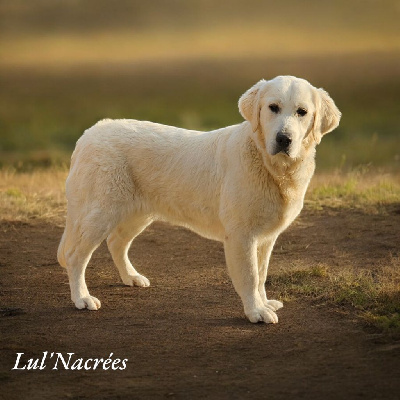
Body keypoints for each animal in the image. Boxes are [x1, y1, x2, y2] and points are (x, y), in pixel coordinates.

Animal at [57, 75, 340, 324]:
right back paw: (82, 298)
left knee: (116, 242)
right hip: (100, 212)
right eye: (273, 108)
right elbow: (250, 276)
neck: (271, 166)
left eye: (302, 112)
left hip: (138, 213)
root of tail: (90, 132)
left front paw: (264, 303)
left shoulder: (266, 237)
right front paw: (256, 312)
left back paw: (131, 277)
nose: (284, 139)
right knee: (75, 256)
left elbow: (261, 275)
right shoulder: (242, 235)